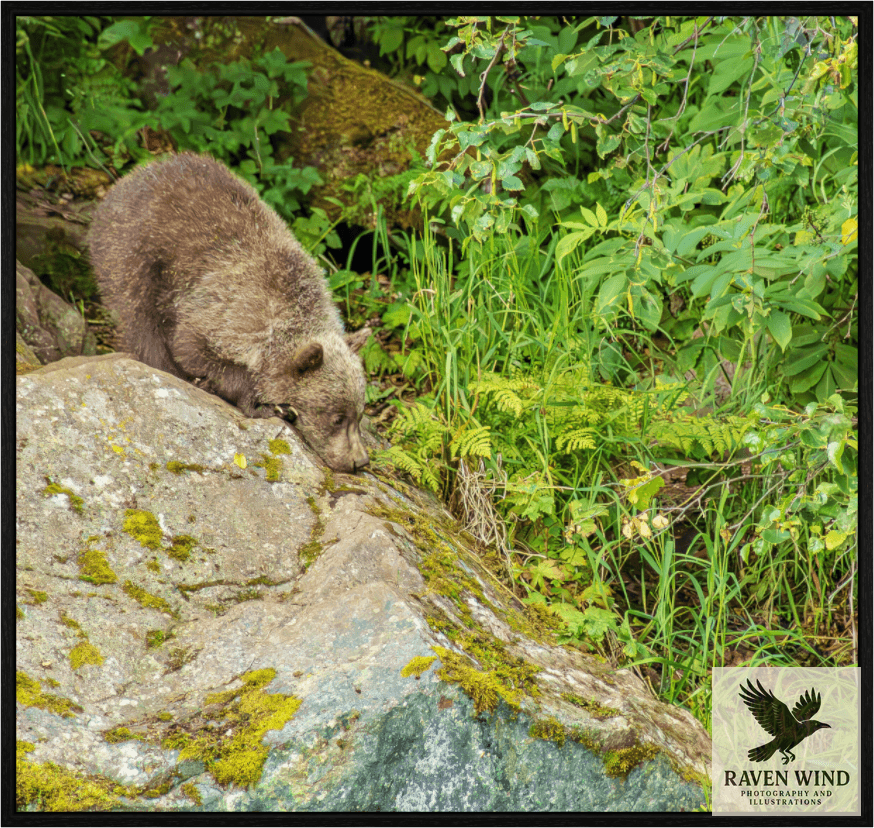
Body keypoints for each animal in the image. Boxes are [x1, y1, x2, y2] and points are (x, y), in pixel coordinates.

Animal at [86, 152, 371, 473]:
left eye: (359, 412)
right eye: (336, 417)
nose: (359, 460)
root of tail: (131, 176)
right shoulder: (221, 311)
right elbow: (191, 347)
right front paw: (262, 403)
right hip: (136, 252)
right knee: (141, 320)